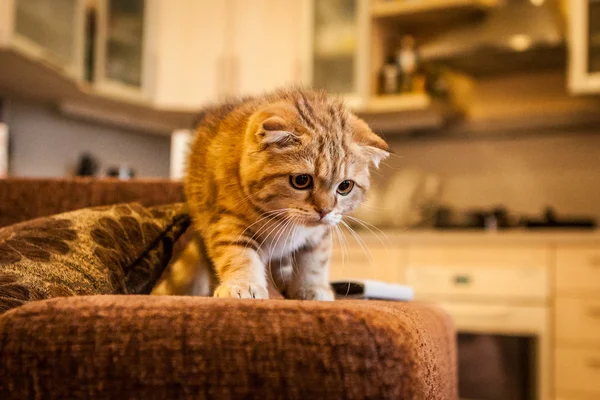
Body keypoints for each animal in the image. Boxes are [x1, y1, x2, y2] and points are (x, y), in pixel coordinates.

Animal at [183, 87, 390, 300]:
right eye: (301, 180)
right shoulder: (229, 221)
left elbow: (314, 260)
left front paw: (311, 288)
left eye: (345, 186)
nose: (324, 210)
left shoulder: (319, 235)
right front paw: (243, 285)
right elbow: (239, 253)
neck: (285, 221)